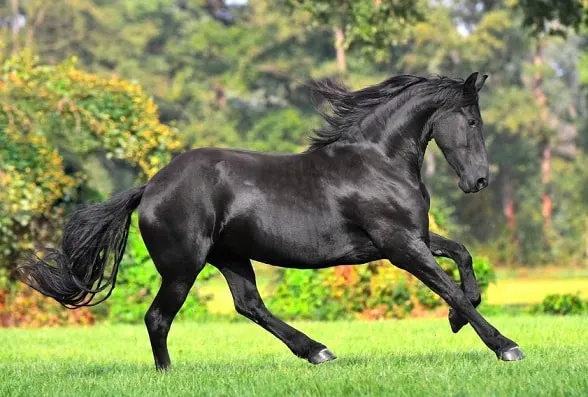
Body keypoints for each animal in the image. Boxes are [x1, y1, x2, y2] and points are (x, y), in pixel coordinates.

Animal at [17, 71, 524, 368]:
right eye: (473, 120)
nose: (479, 180)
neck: (377, 160)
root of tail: (151, 187)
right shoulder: (399, 245)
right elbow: (447, 285)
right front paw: (504, 345)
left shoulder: (410, 237)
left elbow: (462, 257)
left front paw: (459, 320)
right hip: (183, 267)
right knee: (158, 318)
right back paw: (169, 374)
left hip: (230, 257)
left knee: (249, 306)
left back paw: (318, 351)